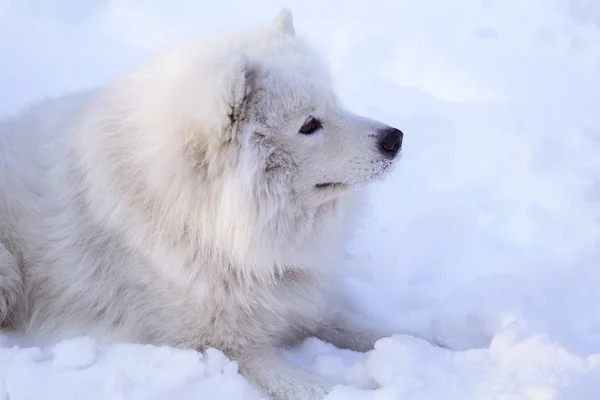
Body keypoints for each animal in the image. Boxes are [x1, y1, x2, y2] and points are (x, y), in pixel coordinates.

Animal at [1, 9, 404, 400]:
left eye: (335, 104)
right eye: (308, 125)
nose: (395, 138)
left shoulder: (307, 306)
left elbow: (384, 332)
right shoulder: (223, 346)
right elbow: (319, 389)